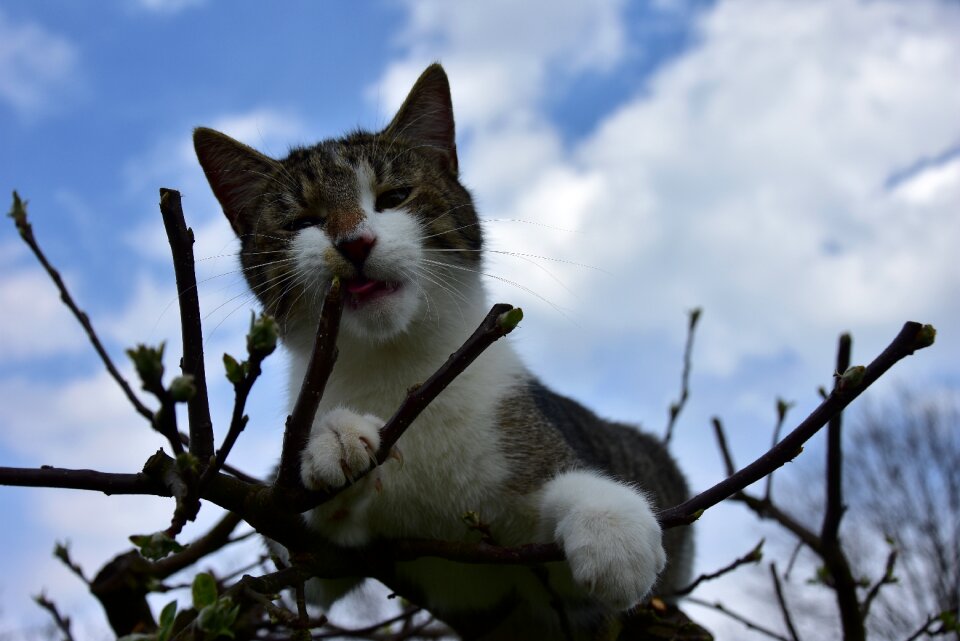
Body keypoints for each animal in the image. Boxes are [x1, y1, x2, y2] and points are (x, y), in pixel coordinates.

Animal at [193, 62, 688, 636]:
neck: (397, 362)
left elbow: (563, 503)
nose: (354, 242)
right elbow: (305, 562)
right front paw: (331, 441)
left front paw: (612, 529)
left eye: (393, 196)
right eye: (302, 222)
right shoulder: (317, 555)